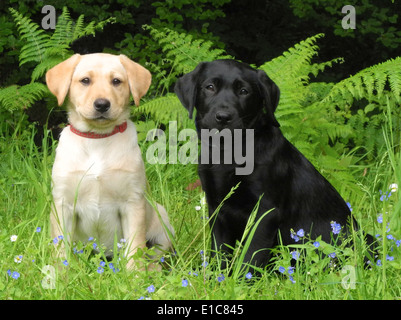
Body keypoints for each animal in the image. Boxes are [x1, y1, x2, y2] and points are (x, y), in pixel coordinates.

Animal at [45, 53, 173, 268]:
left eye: (116, 81)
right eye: (85, 81)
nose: (102, 104)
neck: (98, 138)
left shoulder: (133, 203)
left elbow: (135, 249)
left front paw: (135, 275)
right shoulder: (63, 204)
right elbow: (61, 249)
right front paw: (60, 274)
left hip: (162, 220)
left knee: (155, 254)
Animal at [175, 59, 372, 268]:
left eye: (244, 91)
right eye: (210, 87)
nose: (223, 117)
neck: (228, 152)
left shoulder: (265, 212)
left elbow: (251, 256)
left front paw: (242, 276)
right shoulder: (217, 208)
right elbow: (220, 252)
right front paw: (217, 275)